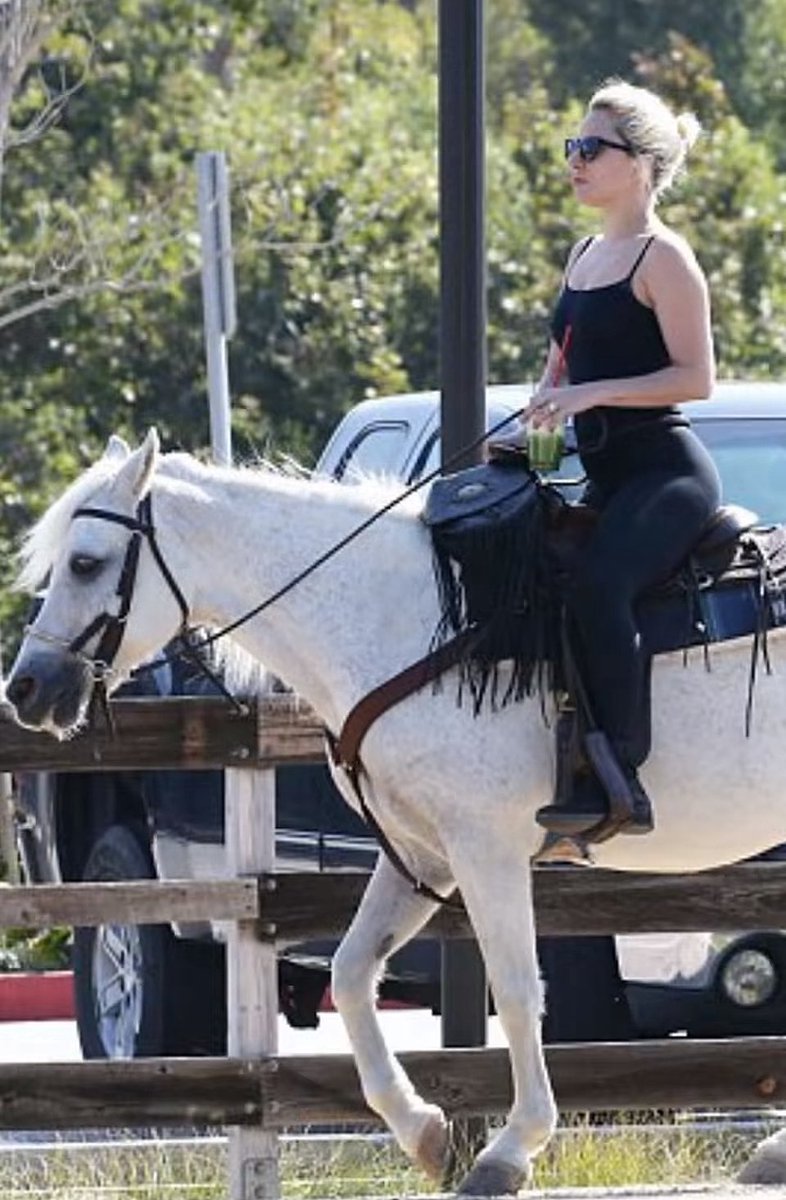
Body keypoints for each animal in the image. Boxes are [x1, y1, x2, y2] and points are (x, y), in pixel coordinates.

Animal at [5, 428, 786, 1195]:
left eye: (85, 562)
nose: (26, 689)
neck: (400, 616)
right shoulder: (423, 852)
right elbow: (353, 973)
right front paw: (428, 1134)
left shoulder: (486, 847)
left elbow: (516, 988)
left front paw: (507, 1151)